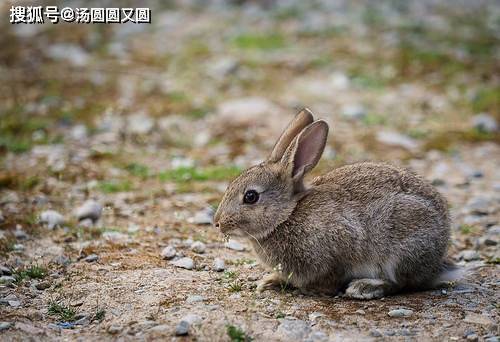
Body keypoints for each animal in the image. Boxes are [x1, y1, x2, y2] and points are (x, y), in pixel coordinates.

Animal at [213, 108, 458, 298]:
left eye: (250, 197)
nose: (217, 223)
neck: (286, 215)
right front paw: (271, 281)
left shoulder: (337, 249)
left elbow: (330, 278)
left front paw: (309, 289)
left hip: (402, 248)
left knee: (403, 283)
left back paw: (364, 287)